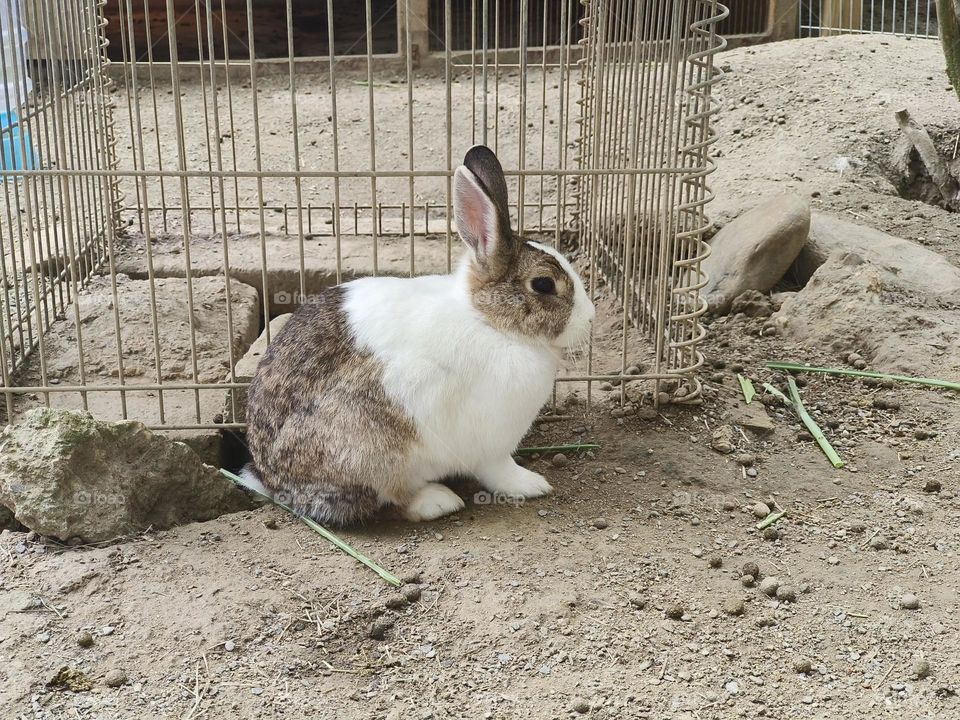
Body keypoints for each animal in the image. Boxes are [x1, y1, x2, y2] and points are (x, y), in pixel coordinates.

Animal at [239, 145, 595, 526]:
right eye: (543, 284)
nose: (590, 318)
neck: (489, 322)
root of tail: (275, 481)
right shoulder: (491, 444)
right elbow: (499, 470)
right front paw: (531, 484)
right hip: (375, 452)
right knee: (393, 497)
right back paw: (438, 501)